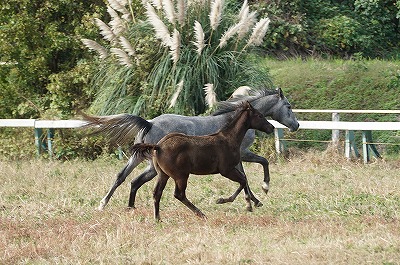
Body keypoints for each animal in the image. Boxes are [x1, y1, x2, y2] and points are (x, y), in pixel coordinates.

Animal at [83, 87, 298, 209]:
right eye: (288, 106)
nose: (296, 125)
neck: (234, 122)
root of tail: (149, 123)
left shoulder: (236, 158)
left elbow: (245, 177)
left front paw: (253, 200)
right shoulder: (242, 154)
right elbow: (261, 164)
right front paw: (263, 190)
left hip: (140, 159)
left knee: (123, 177)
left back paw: (107, 204)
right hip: (153, 165)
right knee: (133, 180)